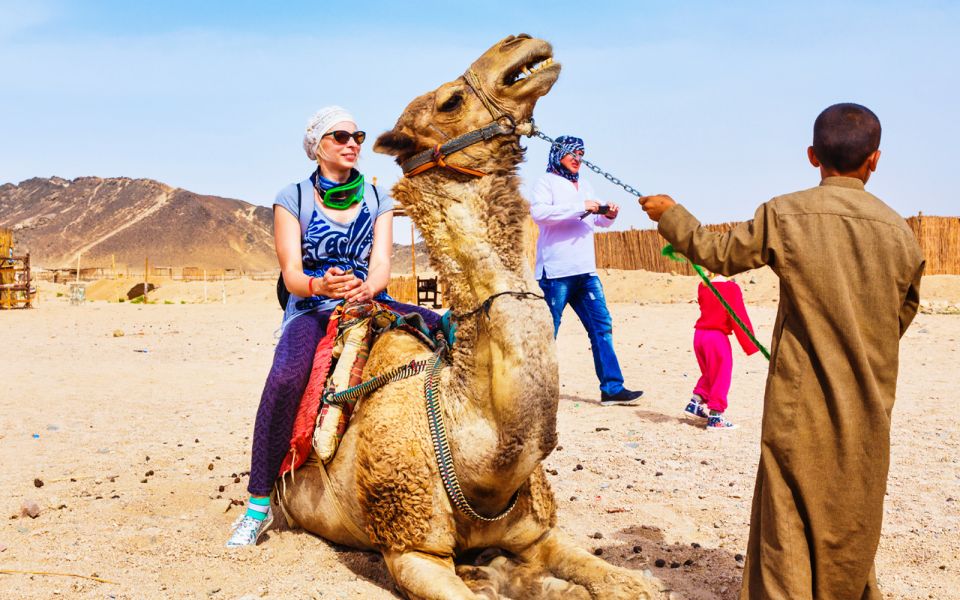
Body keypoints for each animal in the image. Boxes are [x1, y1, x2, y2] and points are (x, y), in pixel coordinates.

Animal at [280, 34, 676, 600]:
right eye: (450, 101)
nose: (520, 42)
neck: (475, 460)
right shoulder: (410, 548)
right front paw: (495, 577)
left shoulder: (538, 531)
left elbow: (617, 579)